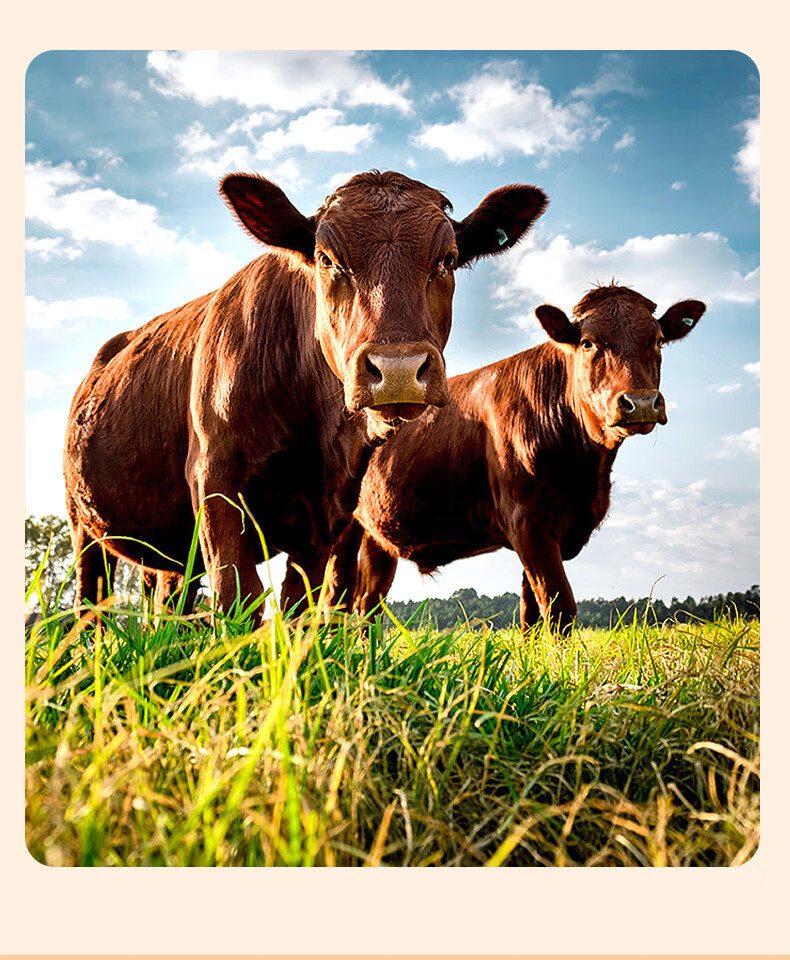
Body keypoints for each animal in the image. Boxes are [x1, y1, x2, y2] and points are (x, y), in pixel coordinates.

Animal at [65, 170, 548, 616]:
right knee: (91, 601)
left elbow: (300, 606)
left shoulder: (326, 513)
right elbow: (238, 595)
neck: (311, 426)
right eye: (326, 258)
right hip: (83, 524)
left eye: (447, 259)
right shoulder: (213, 478)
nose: (398, 369)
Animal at [332, 284, 708, 632]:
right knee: (336, 598)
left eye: (658, 340)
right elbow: (559, 607)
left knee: (367, 604)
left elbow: (532, 612)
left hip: (378, 537)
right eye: (588, 343)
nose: (640, 402)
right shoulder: (527, 520)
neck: (585, 472)